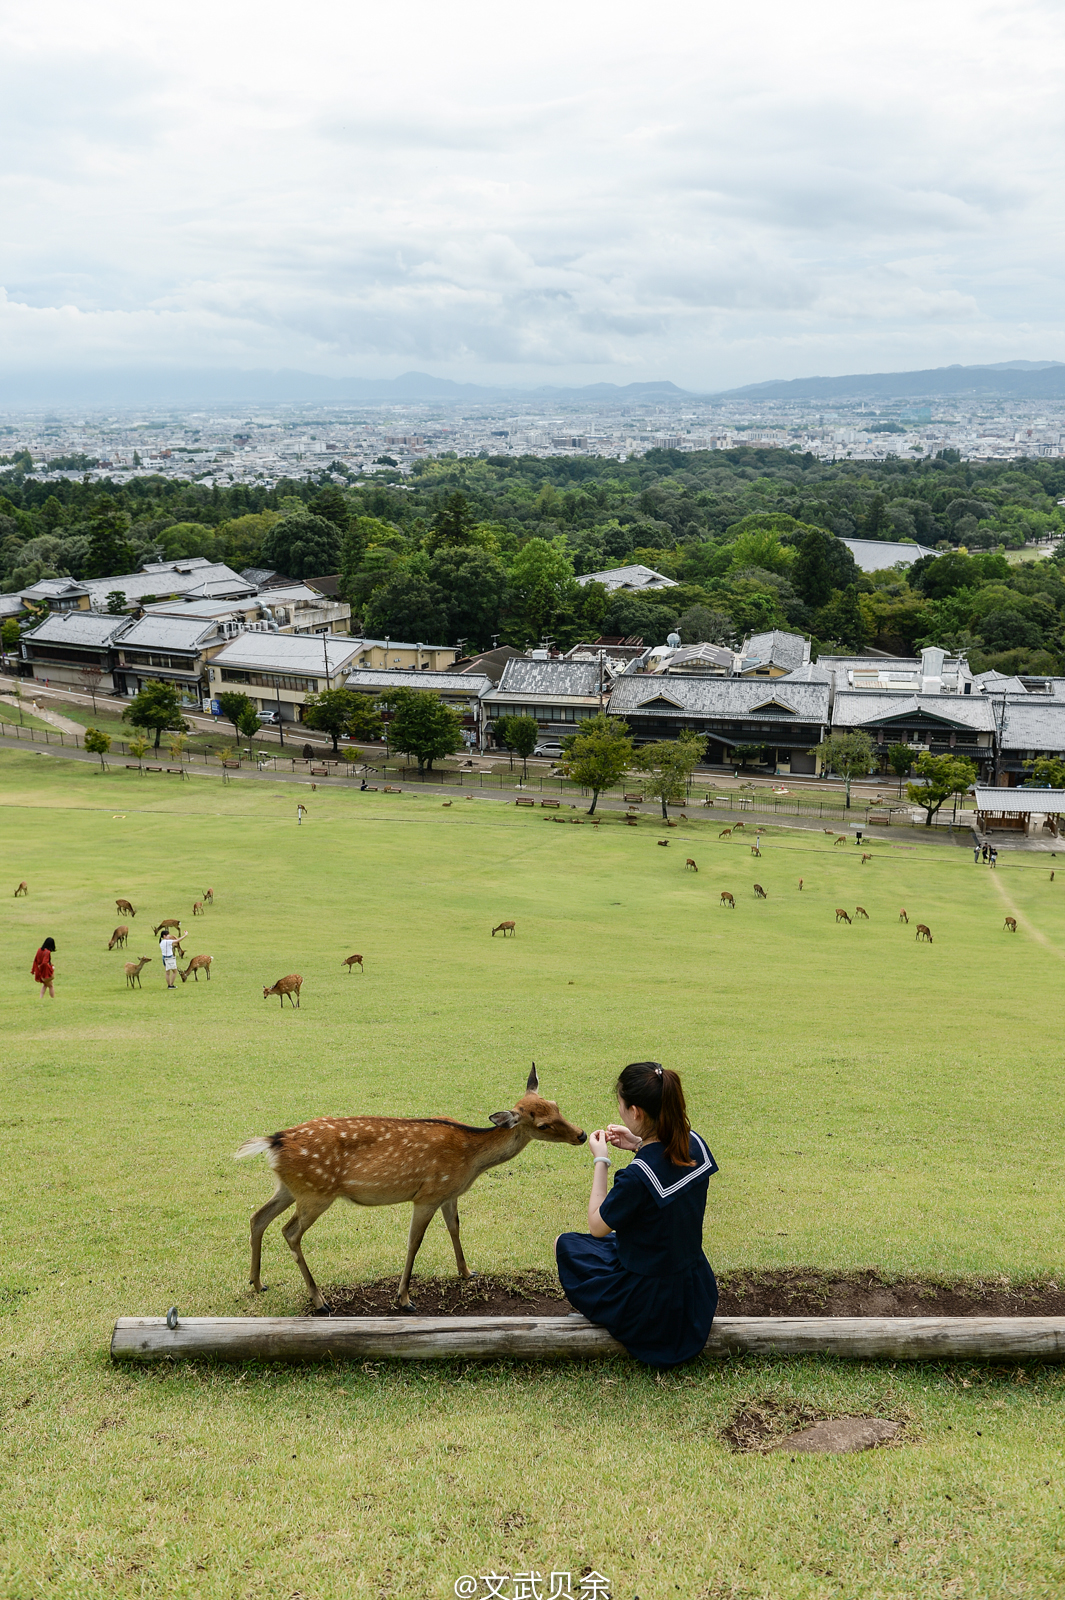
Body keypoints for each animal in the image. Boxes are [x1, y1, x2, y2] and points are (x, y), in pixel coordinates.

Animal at [236, 1062, 585, 1312]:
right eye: (542, 1124)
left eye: (556, 1104)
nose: (581, 1135)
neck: (471, 1159)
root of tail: (274, 1142)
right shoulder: (427, 1195)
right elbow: (414, 1243)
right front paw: (404, 1299)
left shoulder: (448, 1193)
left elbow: (455, 1227)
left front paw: (467, 1272)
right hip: (315, 1193)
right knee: (289, 1231)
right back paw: (320, 1301)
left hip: (289, 1187)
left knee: (257, 1217)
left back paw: (257, 1282)